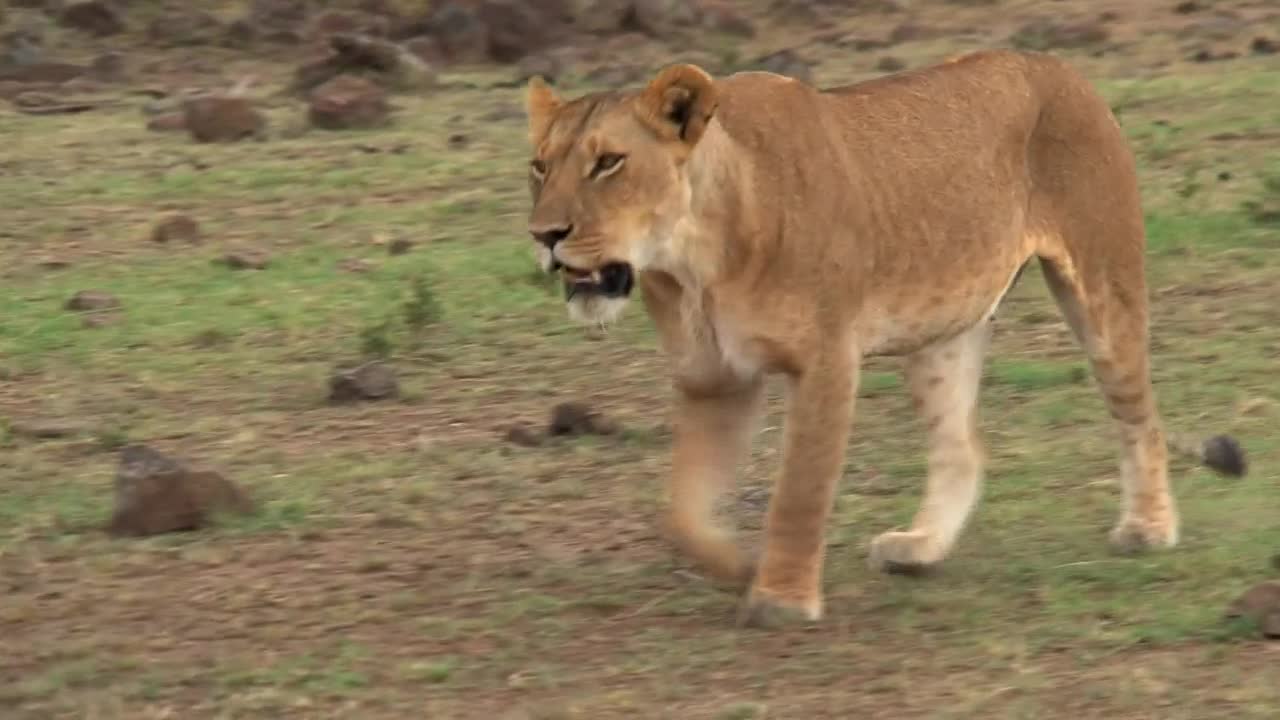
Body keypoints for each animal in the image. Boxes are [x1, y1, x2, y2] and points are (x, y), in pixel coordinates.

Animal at [520, 49, 1247, 628]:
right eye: (539, 166)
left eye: (609, 163)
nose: (545, 235)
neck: (692, 259)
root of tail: (1053, 63)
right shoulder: (714, 378)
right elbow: (682, 510)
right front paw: (735, 563)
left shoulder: (827, 360)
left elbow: (799, 490)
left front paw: (782, 598)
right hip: (940, 330)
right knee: (964, 447)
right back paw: (921, 547)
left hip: (1101, 287)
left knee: (1140, 416)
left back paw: (1148, 529)